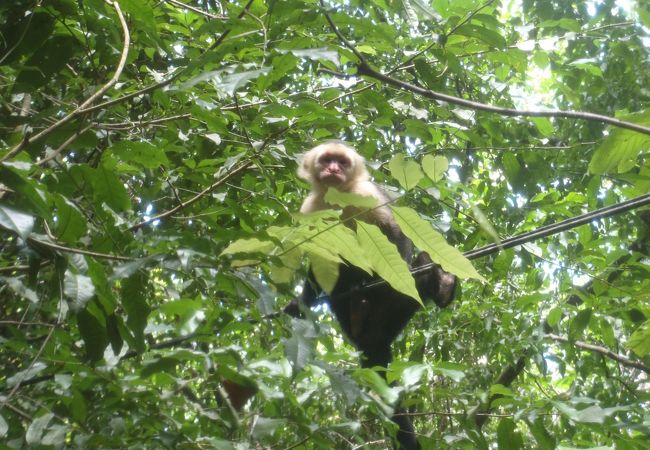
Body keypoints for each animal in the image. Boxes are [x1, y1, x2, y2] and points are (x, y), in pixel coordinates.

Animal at [284, 142, 456, 450]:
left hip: (395, 309)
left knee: (420, 267)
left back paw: (441, 285)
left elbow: (395, 233)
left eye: (342, 162)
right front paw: (302, 302)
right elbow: (318, 254)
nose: (334, 169)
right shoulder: (311, 208)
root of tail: (374, 339)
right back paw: (351, 299)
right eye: (327, 160)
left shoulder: (365, 194)